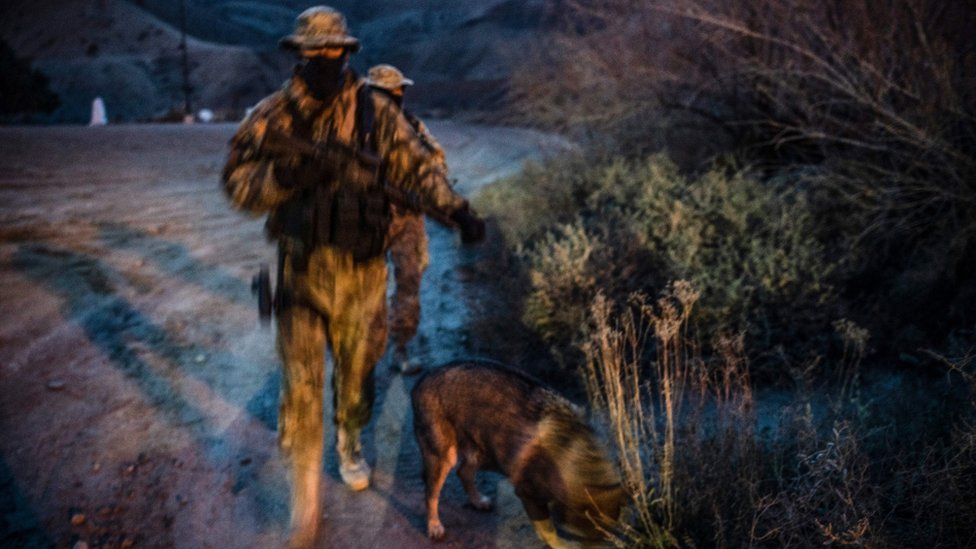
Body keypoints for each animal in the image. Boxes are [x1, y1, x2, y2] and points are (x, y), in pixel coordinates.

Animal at [410, 360, 624, 548]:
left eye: (605, 538)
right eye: (581, 537)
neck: (577, 452)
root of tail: (422, 379)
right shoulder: (528, 493)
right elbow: (548, 531)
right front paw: (561, 545)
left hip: (479, 449)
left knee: (463, 472)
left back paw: (478, 502)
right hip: (444, 456)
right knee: (431, 493)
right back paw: (434, 526)